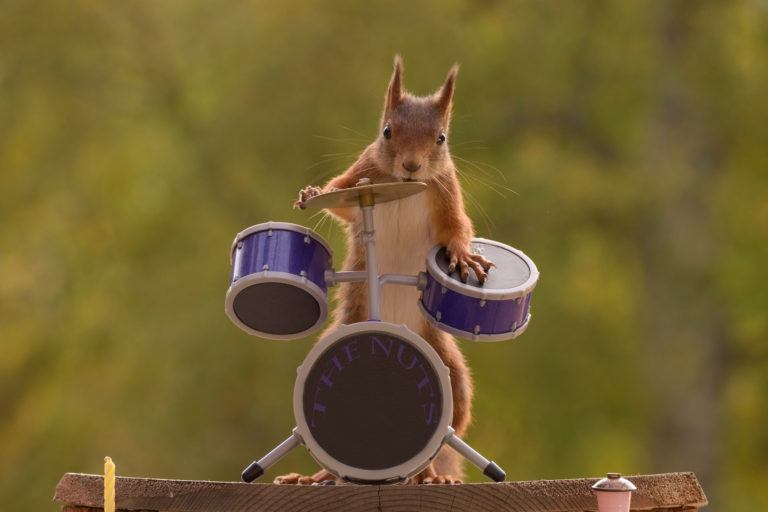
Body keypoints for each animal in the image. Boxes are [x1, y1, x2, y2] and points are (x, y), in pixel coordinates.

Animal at [280, 56, 496, 484]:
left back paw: (430, 476)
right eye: (387, 131)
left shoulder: (446, 191)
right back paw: (318, 477)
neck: (400, 186)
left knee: (445, 434)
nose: (412, 166)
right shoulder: (360, 178)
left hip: (451, 374)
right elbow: (339, 198)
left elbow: (457, 229)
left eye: (441, 138)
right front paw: (313, 192)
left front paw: (463, 255)